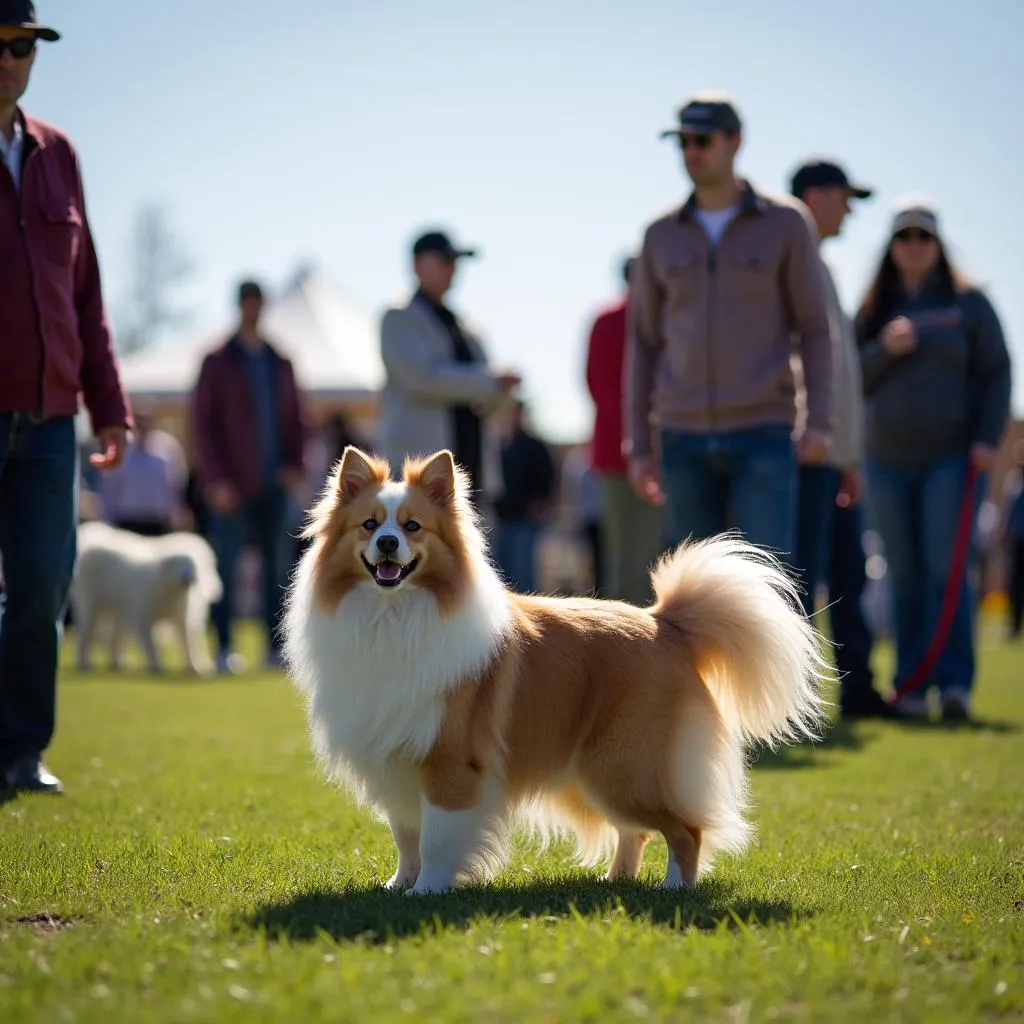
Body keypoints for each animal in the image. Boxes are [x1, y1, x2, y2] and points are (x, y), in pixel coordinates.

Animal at [72, 520, 224, 679]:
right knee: (85, 634)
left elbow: (187, 642)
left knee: (113, 638)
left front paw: (194, 667)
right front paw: (156, 666)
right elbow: (151, 645)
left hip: (119, 611)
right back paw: (84, 663)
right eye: (180, 565)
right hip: (92, 605)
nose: (188, 577)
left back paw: (118, 663)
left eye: (192, 566)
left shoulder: (182, 617)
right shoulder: (143, 617)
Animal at [280, 444, 831, 892]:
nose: (389, 545)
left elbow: (436, 839)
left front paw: (428, 893)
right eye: (370, 525)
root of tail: (665, 623)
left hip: (622, 769)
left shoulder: (450, 763)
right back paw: (616, 881)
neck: (389, 615)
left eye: (412, 527)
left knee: (685, 828)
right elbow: (406, 835)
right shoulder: (396, 759)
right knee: (636, 833)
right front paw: (399, 886)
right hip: (594, 775)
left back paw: (673, 889)